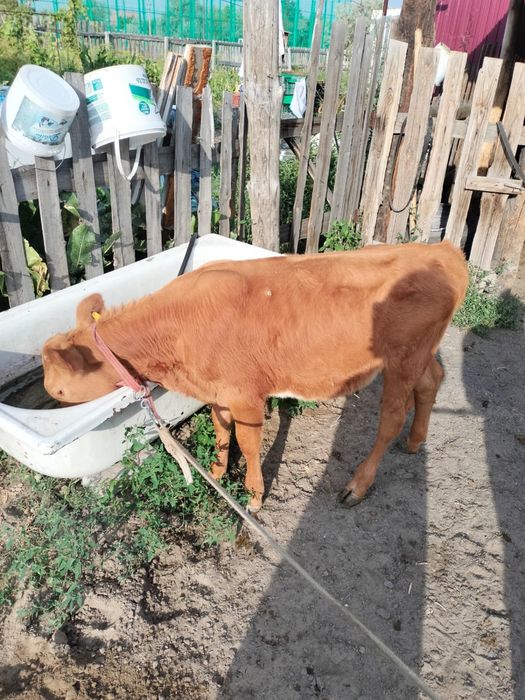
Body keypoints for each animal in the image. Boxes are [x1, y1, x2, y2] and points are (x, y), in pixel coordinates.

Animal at [41, 241, 468, 512]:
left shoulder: (246, 395)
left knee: (391, 418)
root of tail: (441, 249)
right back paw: (415, 441)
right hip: (420, 354)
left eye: (59, 387)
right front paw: (216, 473)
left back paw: (358, 485)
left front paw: (254, 497)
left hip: (403, 359)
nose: (48, 398)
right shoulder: (215, 392)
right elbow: (220, 431)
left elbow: (247, 444)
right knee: (432, 381)